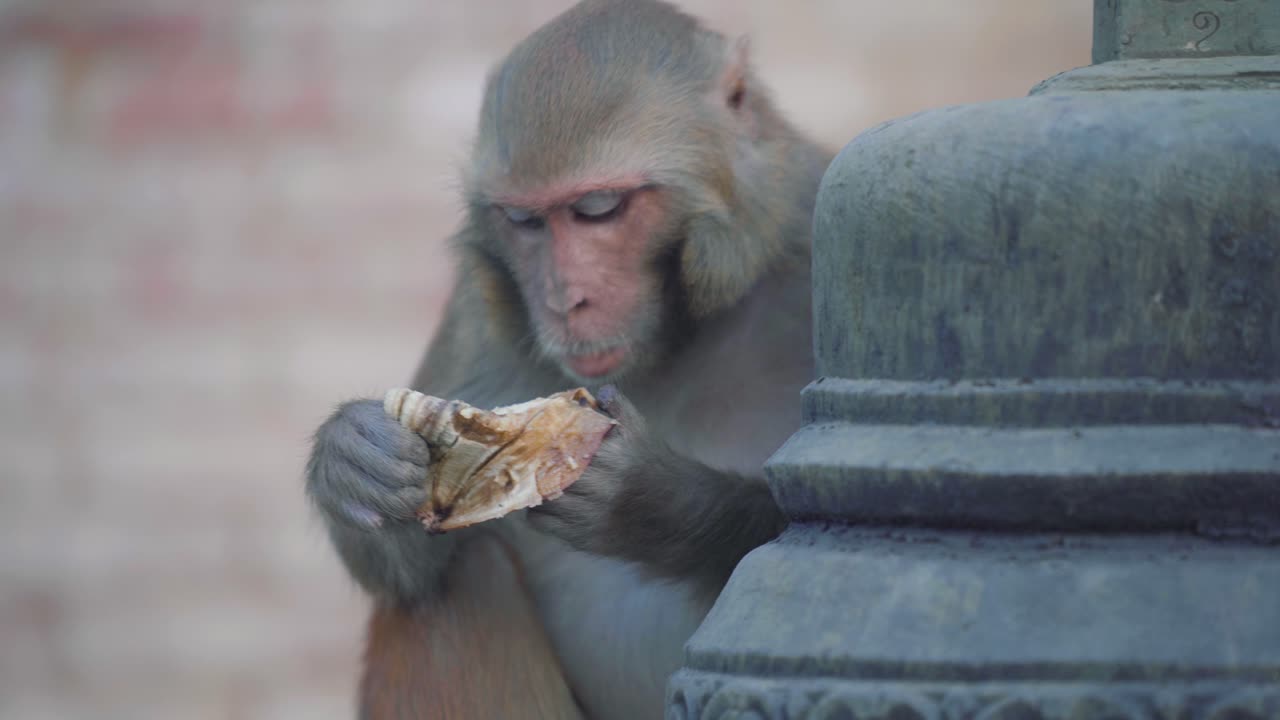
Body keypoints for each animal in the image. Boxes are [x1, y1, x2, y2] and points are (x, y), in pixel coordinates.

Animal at [305, 1, 833, 718]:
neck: (678, 334)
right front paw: (350, 460)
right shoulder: (481, 308)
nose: (563, 301)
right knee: (458, 578)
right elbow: (411, 573)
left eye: (597, 210)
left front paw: (653, 502)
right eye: (525, 222)